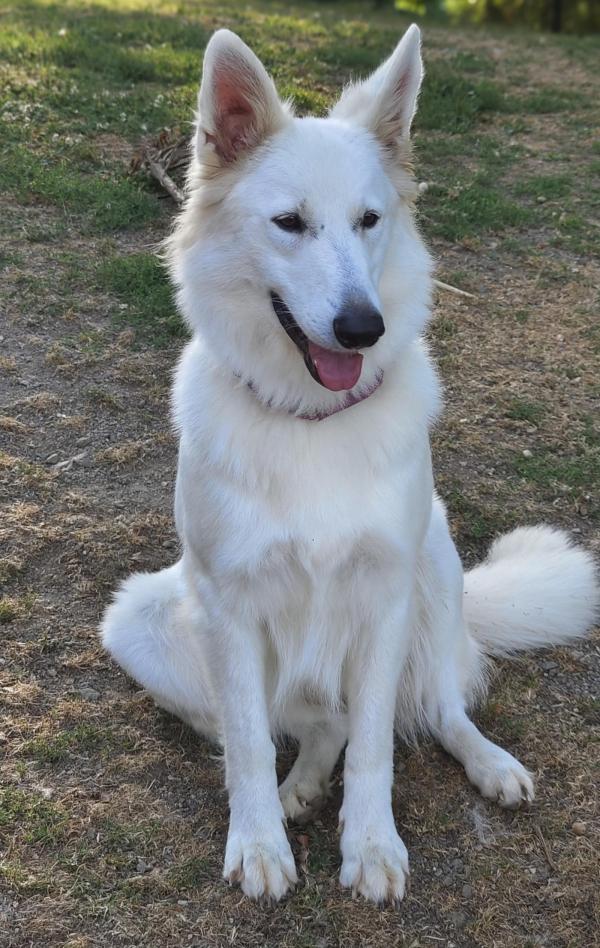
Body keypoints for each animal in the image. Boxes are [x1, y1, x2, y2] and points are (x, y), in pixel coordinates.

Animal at [101, 24, 596, 904]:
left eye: (370, 220)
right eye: (289, 223)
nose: (364, 328)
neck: (311, 421)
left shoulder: (386, 595)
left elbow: (374, 746)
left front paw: (370, 845)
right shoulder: (227, 607)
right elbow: (252, 744)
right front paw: (259, 841)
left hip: (435, 565)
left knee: (439, 706)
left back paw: (488, 763)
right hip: (142, 625)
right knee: (305, 726)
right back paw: (297, 787)